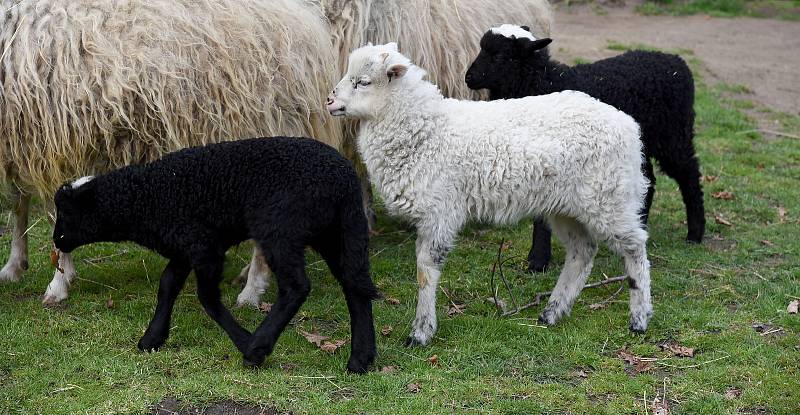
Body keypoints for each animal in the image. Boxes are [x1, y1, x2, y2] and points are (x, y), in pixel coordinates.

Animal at [0, 0, 338, 306]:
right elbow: (18, 203)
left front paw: (58, 284)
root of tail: (308, 28)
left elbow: (55, 219)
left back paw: (251, 291)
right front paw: (14, 266)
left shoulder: (51, 144)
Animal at [53, 136, 382, 374]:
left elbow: (207, 299)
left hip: (279, 226)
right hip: (335, 232)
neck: (146, 197)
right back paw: (360, 359)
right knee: (354, 286)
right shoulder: (187, 246)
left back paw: (258, 348)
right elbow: (167, 285)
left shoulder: (205, 248)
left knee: (297, 286)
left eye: (67, 213)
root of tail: (344, 179)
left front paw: (246, 342)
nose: (56, 240)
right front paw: (152, 338)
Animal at [324, 43, 656, 348]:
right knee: (582, 252)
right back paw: (552, 312)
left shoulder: (439, 212)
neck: (427, 129)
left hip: (609, 197)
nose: (329, 100)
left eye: (363, 81)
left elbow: (425, 272)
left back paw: (639, 318)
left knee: (635, 248)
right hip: (566, 206)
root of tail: (629, 126)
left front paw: (421, 332)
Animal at [466, 25, 704, 272]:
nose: (468, 78)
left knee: (689, 173)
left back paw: (694, 234)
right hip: (639, 143)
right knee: (648, 181)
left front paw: (538, 260)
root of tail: (676, 61)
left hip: (674, 133)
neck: (545, 82)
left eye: (500, 56)